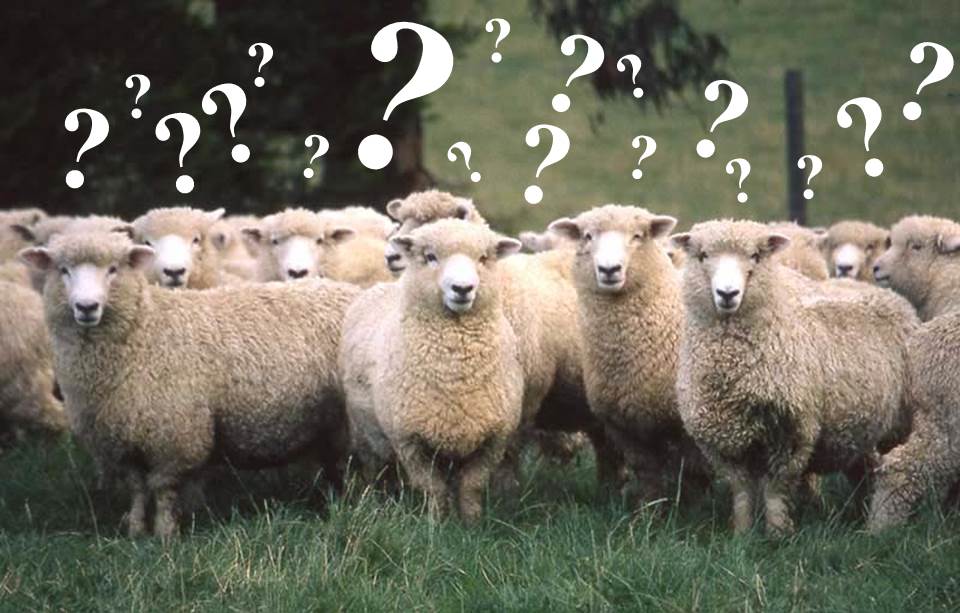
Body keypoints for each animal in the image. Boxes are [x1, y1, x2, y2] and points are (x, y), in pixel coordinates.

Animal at [20, 231, 360, 537]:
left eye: (113, 269)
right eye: (63, 270)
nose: (87, 307)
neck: (143, 330)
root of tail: (352, 290)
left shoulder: (174, 438)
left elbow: (163, 489)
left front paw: (165, 534)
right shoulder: (123, 440)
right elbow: (137, 489)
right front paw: (135, 531)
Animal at [368, 220, 524, 522]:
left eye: (483, 258)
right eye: (430, 257)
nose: (462, 288)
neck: (455, 377)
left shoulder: (494, 441)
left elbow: (472, 485)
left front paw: (472, 523)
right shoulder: (409, 441)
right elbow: (432, 488)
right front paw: (437, 522)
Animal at [547, 205, 709, 501]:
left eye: (637, 236)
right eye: (587, 236)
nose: (609, 269)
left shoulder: (689, 427)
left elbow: (695, 473)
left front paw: (700, 507)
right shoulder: (624, 426)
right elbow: (647, 473)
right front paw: (650, 509)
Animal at [671, 220, 917, 535]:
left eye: (755, 256)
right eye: (702, 256)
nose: (728, 294)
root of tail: (894, 299)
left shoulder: (791, 430)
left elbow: (775, 491)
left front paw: (778, 535)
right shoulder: (721, 442)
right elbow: (742, 491)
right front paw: (742, 534)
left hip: (901, 425)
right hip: (861, 428)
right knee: (864, 470)